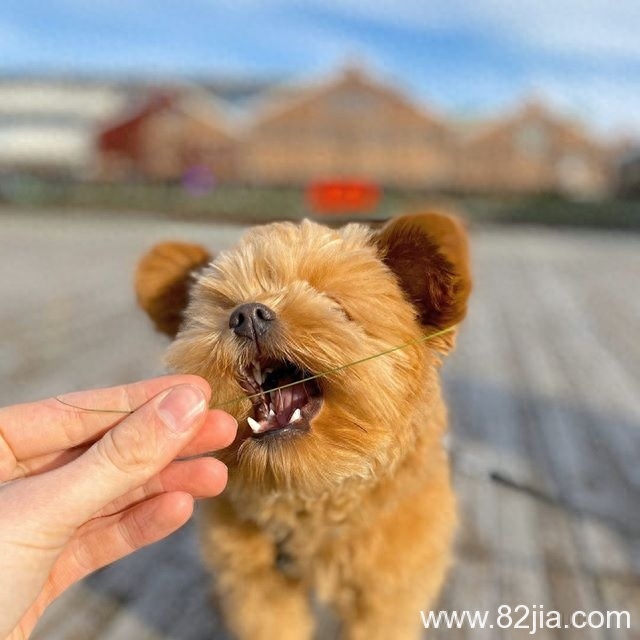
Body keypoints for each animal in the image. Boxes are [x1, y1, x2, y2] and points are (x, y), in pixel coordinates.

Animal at [135, 212, 472, 636]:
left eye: (334, 304)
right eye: (224, 307)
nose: (247, 314)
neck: (309, 501)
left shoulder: (386, 596)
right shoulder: (259, 586)